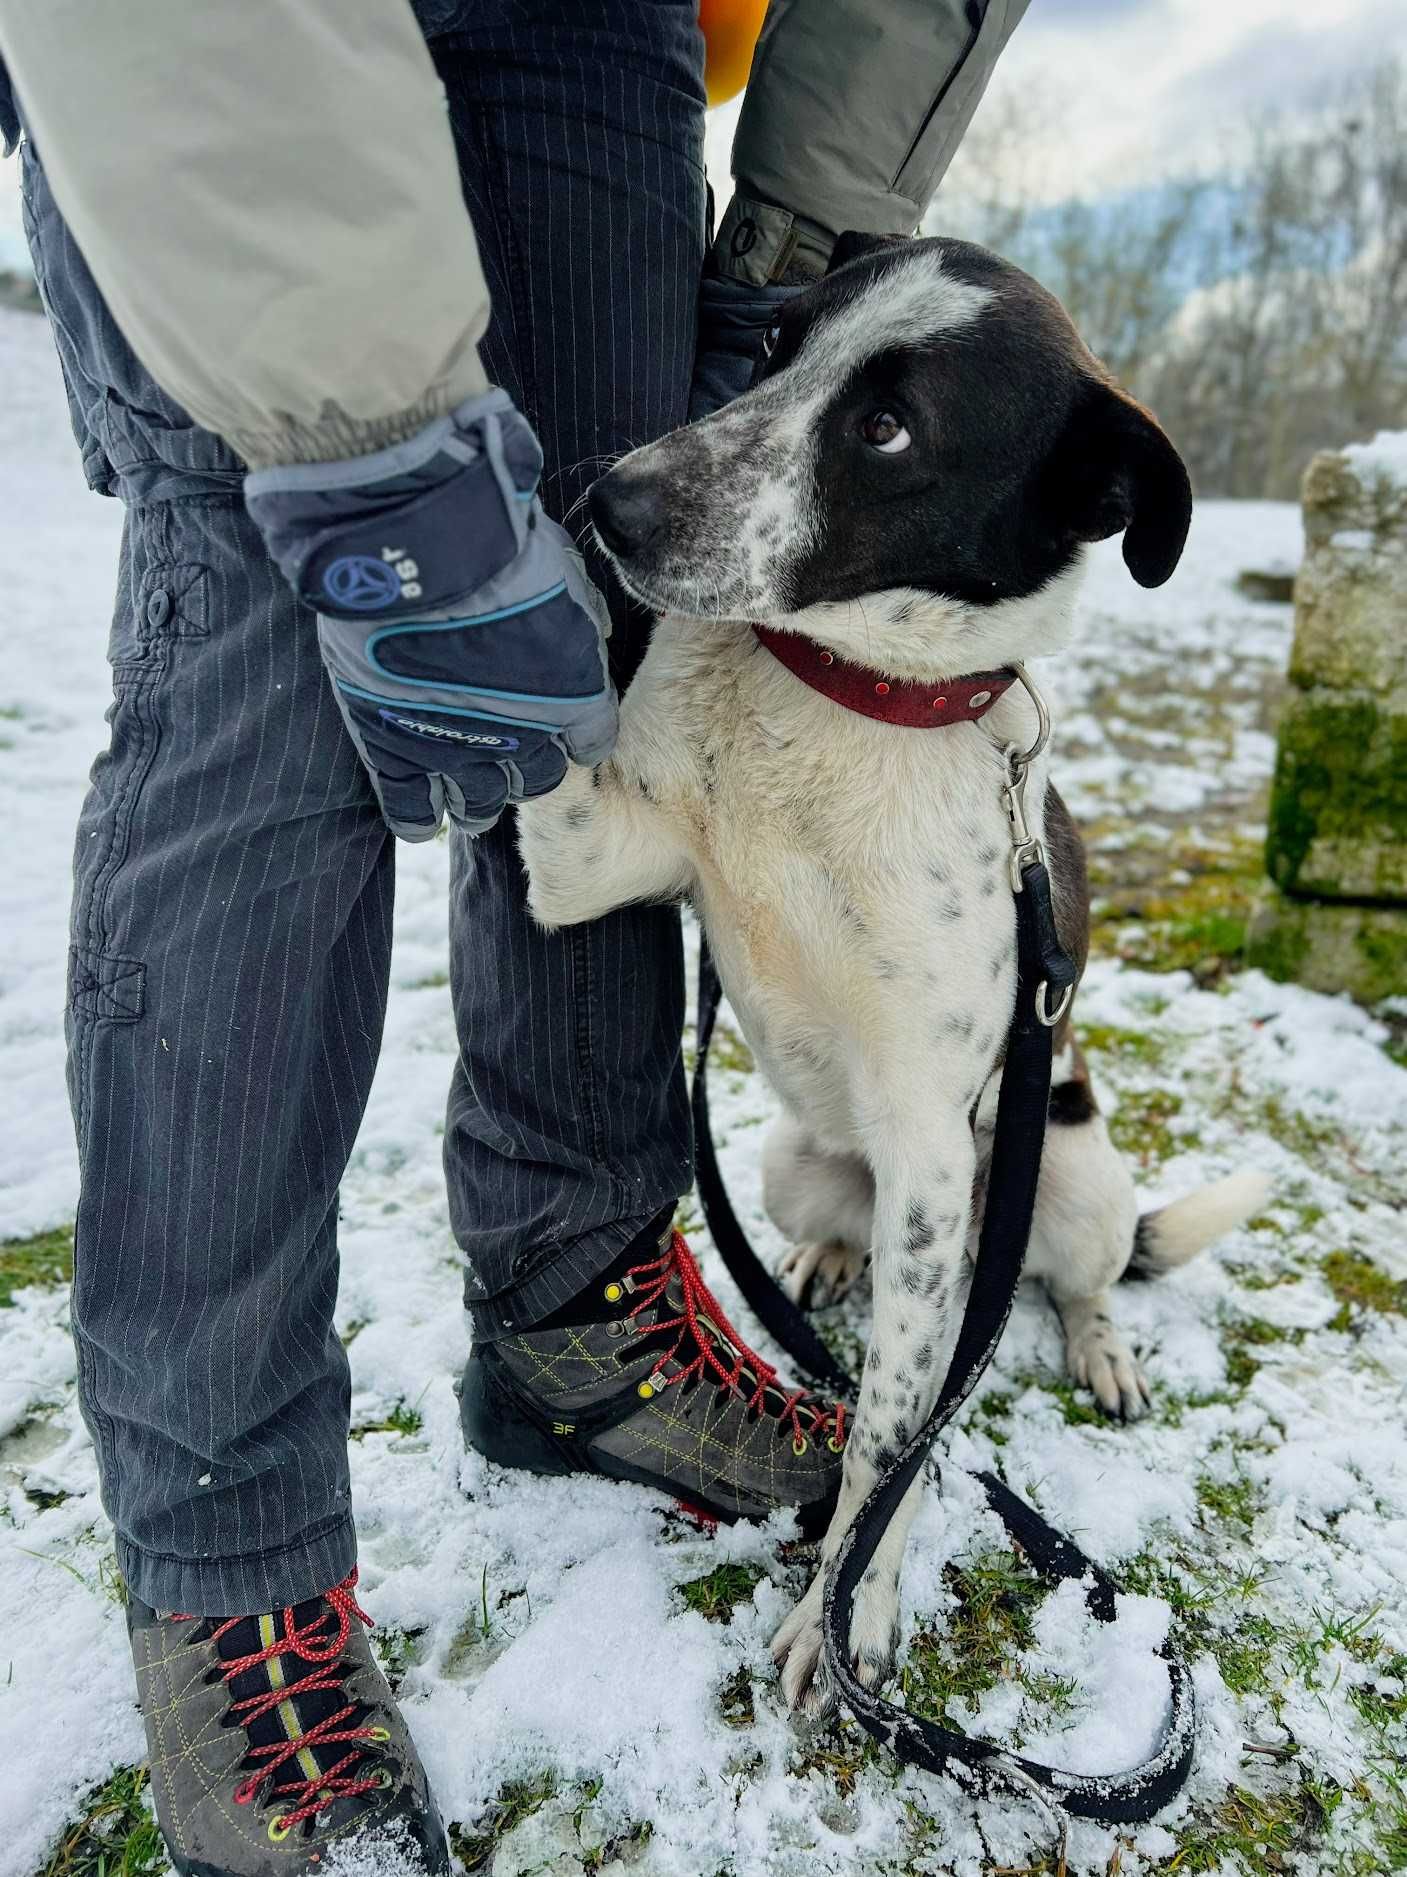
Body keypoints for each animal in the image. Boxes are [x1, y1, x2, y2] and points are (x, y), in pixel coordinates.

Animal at [514, 238, 1268, 1719]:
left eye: (886, 429)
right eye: (773, 346)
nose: (609, 499)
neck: (834, 691)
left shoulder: (929, 1152)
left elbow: (895, 1436)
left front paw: (844, 1606)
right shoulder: (592, 856)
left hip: (1062, 1174)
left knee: (1071, 1282)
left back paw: (1097, 1343)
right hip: (792, 1161)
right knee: (855, 1247)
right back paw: (816, 1260)